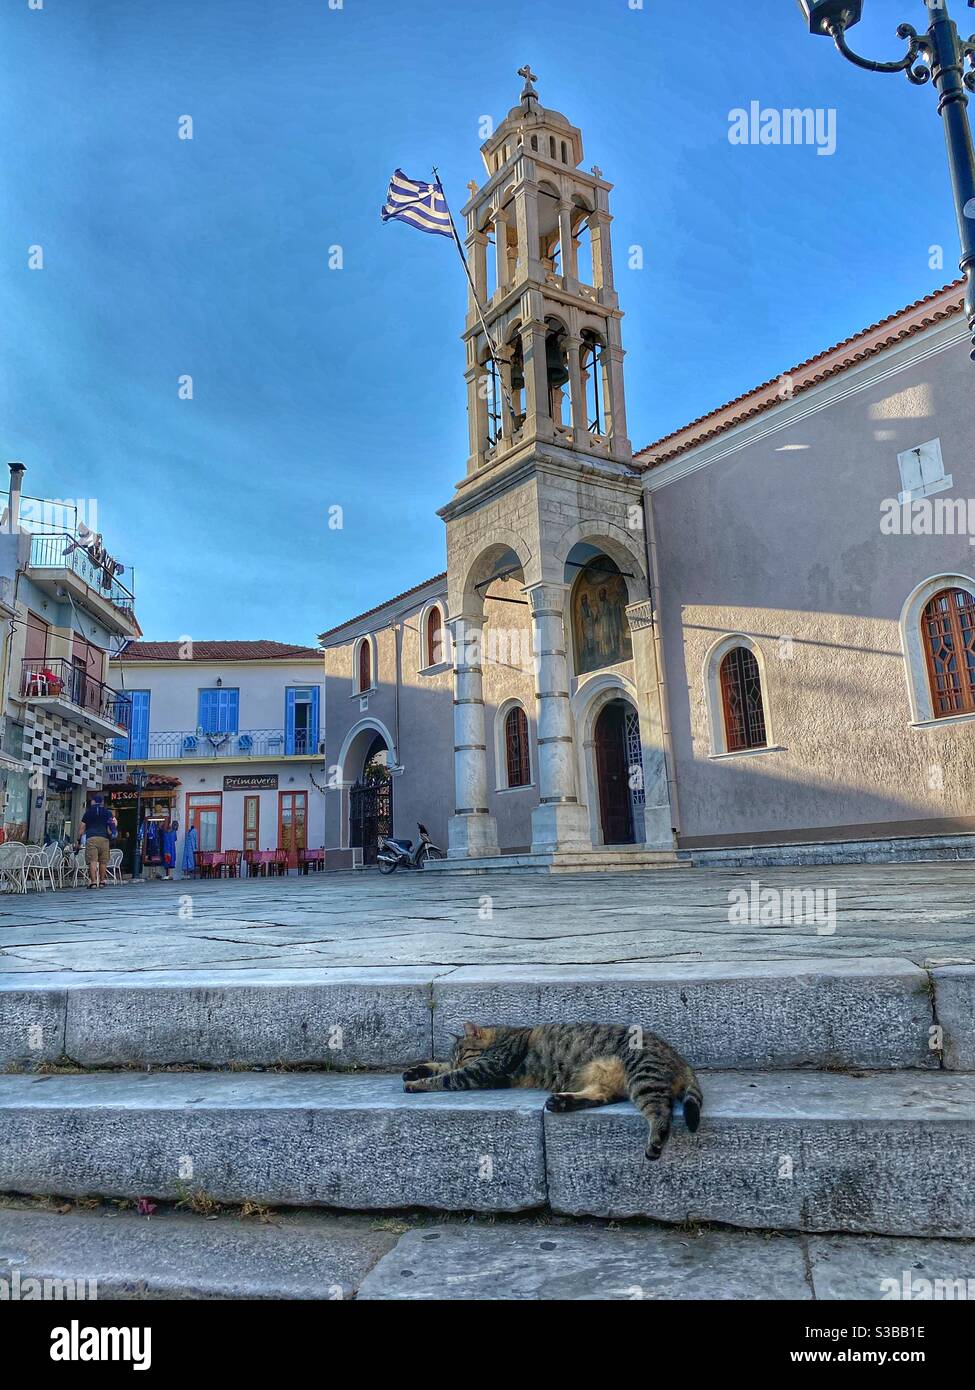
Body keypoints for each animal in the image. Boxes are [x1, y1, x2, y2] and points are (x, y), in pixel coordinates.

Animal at [403, 1023, 700, 1162]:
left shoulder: (485, 1069)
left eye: (463, 1053)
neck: (502, 1035)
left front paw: (417, 1083)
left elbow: (446, 1078)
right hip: (608, 1081)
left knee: (661, 1110)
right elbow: (440, 1066)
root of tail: (678, 1056)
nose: (458, 1060)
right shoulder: (473, 1067)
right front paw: (415, 1071)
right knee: (600, 1096)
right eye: (456, 1055)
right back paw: (561, 1102)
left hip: (644, 1078)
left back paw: (656, 1141)